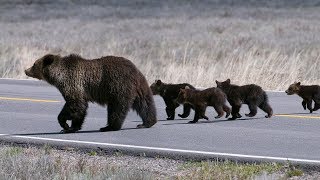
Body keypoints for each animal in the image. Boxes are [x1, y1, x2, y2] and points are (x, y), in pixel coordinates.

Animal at [24, 53, 157, 132]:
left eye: (34, 64)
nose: (26, 70)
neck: (59, 76)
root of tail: (135, 71)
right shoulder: (79, 90)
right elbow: (80, 108)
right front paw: (73, 127)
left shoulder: (73, 83)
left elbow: (75, 105)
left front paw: (65, 125)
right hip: (140, 88)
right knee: (145, 104)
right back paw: (147, 122)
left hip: (118, 87)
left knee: (117, 109)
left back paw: (109, 127)